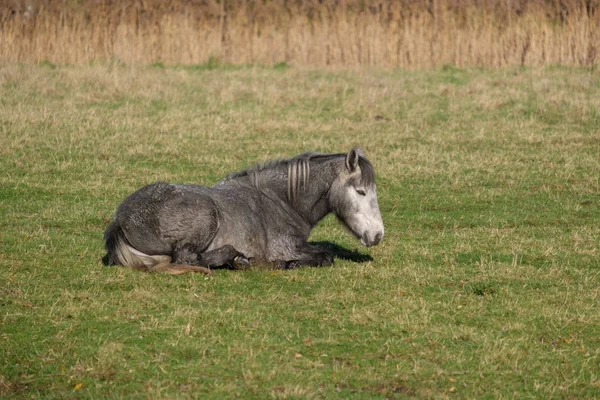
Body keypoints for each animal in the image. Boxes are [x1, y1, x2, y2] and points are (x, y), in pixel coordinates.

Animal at [103, 147, 384, 276]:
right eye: (361, 192)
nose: (378, 235)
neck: (280, 201)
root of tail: (120, 219)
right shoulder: (287, 246)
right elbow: (326, 255)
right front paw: (289, 263)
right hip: (206, 217)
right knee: (187, 258)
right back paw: (238, 259)